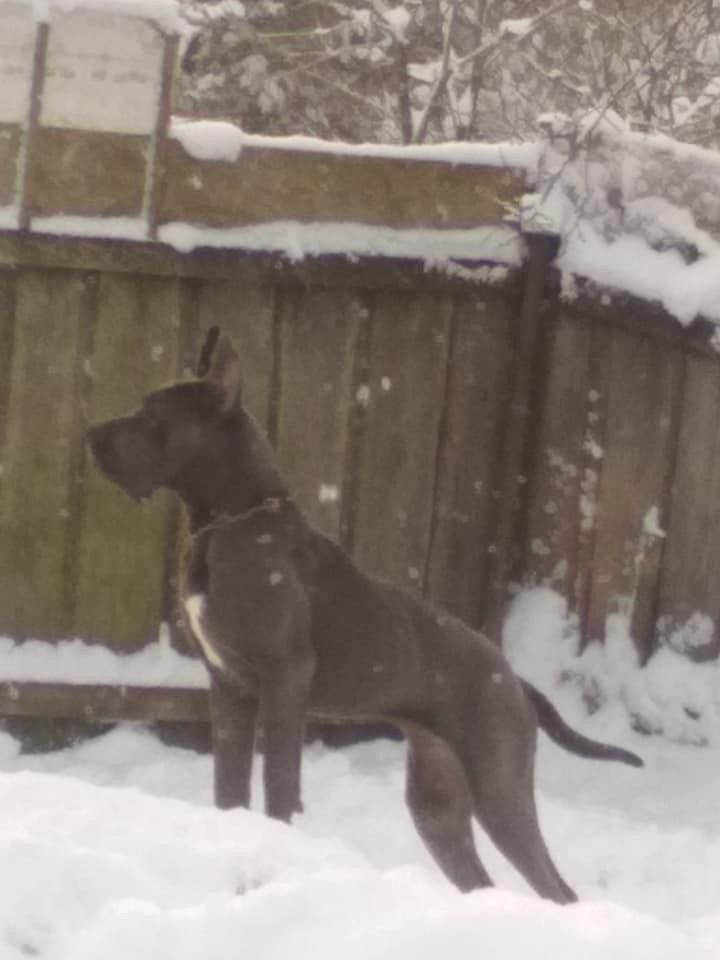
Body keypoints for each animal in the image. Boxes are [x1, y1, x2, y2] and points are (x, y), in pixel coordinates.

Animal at [87, 325, 642, 904]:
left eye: (152, 413)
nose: (89, 436)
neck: (231, 522)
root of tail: (515, 679)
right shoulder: (229, 686)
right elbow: (229, 785)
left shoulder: (285, 677)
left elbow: (279, 781)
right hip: (438, 803)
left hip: (498, 783)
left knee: (557, 888)